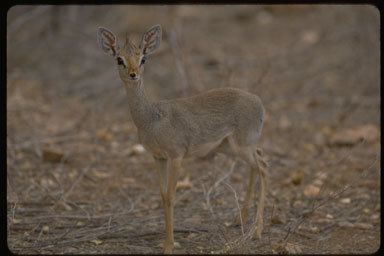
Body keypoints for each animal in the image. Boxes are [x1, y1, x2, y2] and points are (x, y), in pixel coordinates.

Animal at [97, 24, 268, 254]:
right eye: (119, 59)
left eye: (143, 58)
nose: (133, 75)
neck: (151, 118)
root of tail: (259, 102)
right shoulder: (158, 157)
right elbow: (162, 195)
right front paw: (164, 242)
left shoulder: (175, 156)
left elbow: (171, 196)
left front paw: (169, 245)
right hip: (232, 148)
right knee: (258, 162)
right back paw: (240, 220)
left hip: (242, 146)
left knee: (264, 167)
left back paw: (257, 232)